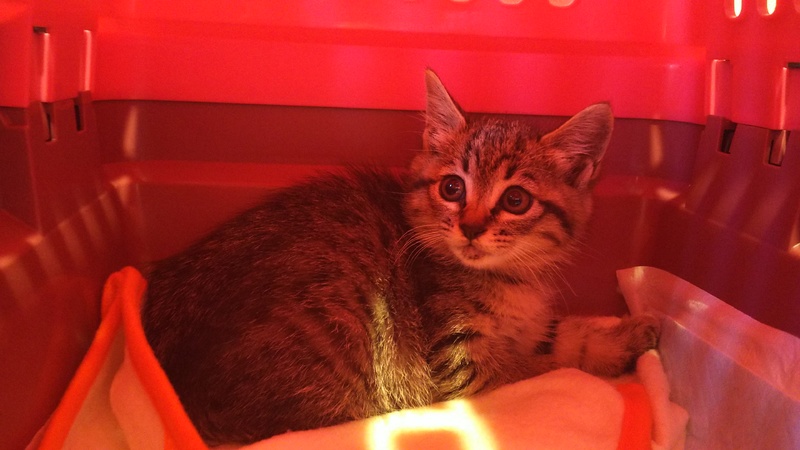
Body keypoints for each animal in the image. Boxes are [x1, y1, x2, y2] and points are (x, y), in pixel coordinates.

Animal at [141, 69, 659, 445]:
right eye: (452, 188)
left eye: (516, 200)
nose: (471, 227)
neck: (509, 278)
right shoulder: (459, 367)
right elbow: (542, 371)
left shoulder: (530, 327)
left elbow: (566, 338)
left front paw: (638, 332)